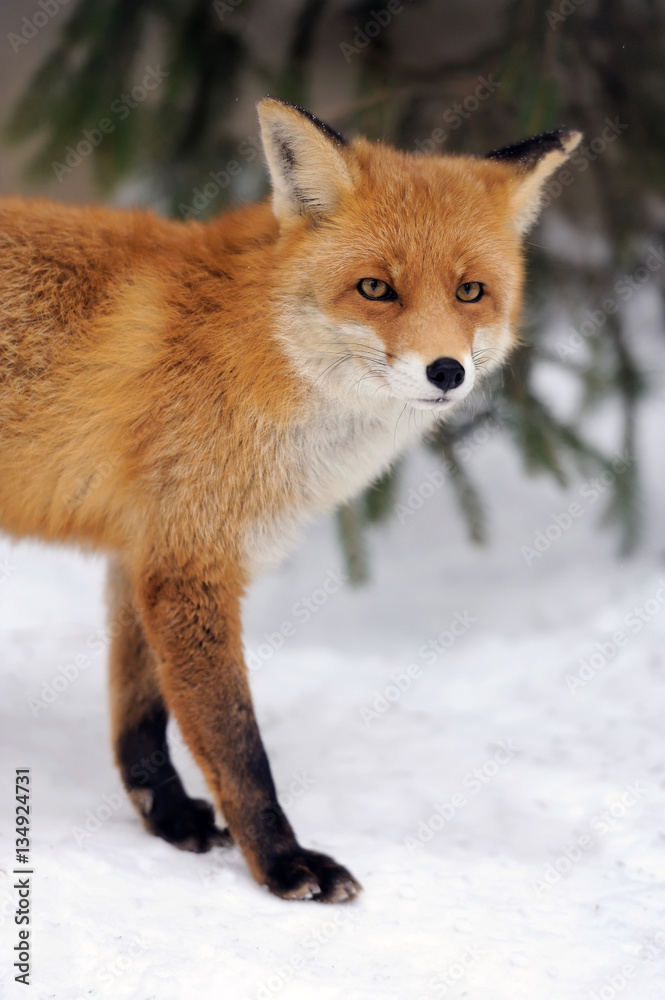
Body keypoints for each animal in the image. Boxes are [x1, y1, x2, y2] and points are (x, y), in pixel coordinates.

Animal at [0, 98, 580, 902]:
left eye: (470, 292)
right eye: (375, 288)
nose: (446, 371)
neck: (254, 349)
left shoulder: (147, 547)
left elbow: (141, 716)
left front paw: (168, 819)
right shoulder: (191, 562)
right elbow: (238, 745)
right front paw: (281, 863)